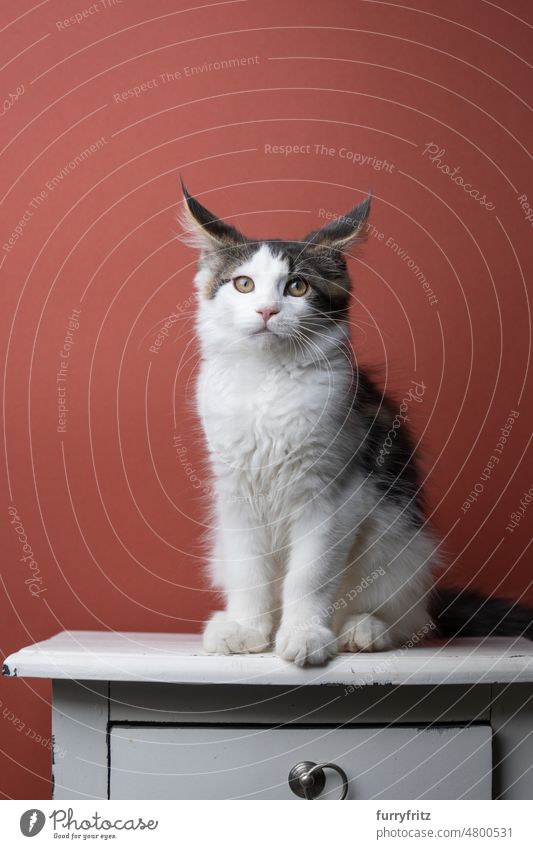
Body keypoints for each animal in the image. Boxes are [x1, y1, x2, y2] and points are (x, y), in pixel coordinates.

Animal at [180, 182, 532, 664]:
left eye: (297, 286)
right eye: (244, 284)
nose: (268, 311)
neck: (266, 382)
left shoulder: (334, 494)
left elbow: (308, 577)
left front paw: (305, 636)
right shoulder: (237, 493)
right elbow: (250, 570)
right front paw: (248, 630)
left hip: (398, 539)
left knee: (406, 620)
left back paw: (363, 631)